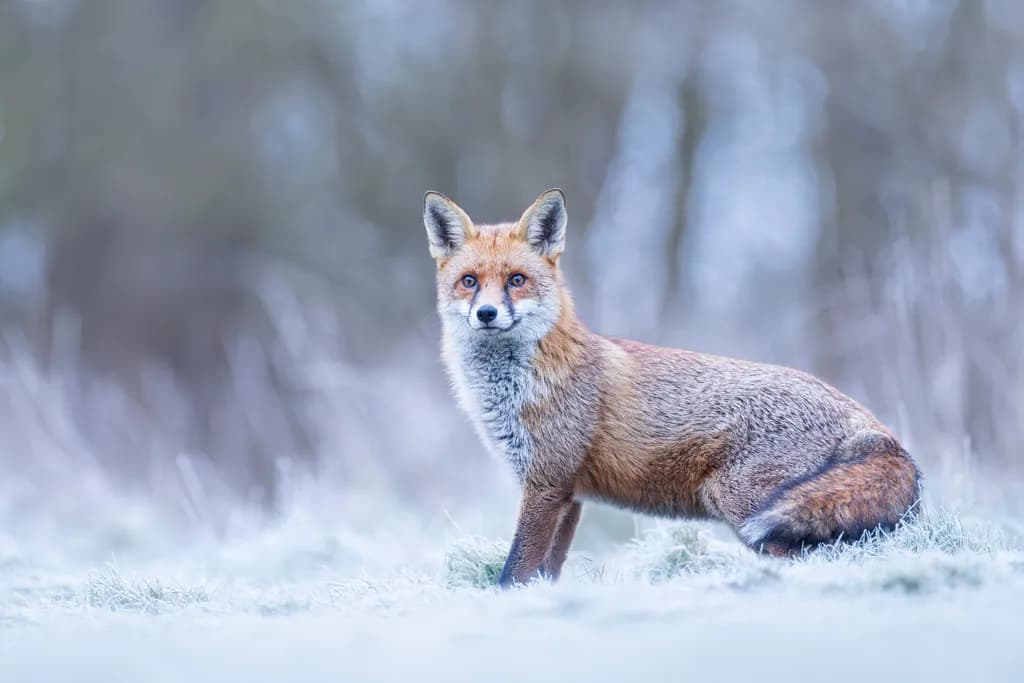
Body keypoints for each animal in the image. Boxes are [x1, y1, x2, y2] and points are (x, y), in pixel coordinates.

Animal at [422, 188, 922, 588]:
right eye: (469, 282)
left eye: (516, 281)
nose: (487, 313)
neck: (514, 388)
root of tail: (869, 420)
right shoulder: (569, 493)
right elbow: (547, 569)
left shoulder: (546, 483)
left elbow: (515, 568)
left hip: (746, 504)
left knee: (809, 558)